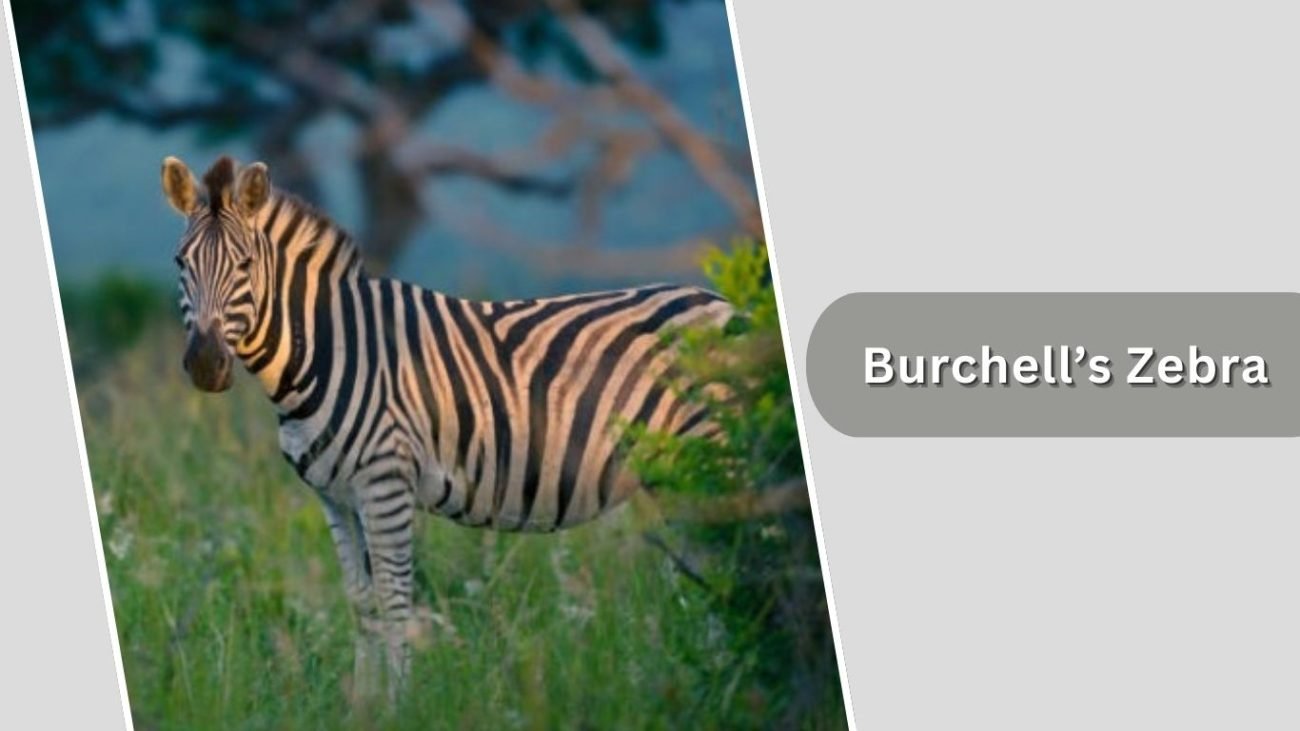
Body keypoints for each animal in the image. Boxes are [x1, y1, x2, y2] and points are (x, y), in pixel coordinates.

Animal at [160, 155, 735, 702]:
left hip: (715, 461)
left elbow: (394, 602)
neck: (328, 349)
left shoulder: (386, 483)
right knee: (714, 572)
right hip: (677, 479)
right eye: (181, 263)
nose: (206, 364)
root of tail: (727, 303)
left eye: (245, 265)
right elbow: (361, 604)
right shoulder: (336, 496)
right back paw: (711, 681)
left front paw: (398, 706)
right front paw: (362, 705)